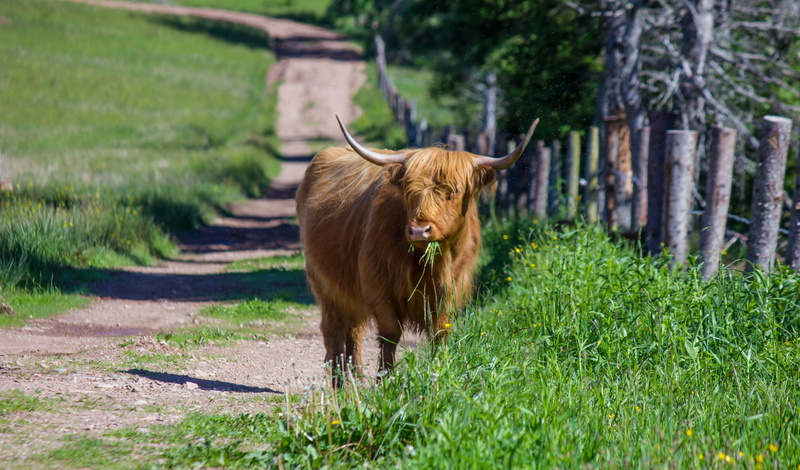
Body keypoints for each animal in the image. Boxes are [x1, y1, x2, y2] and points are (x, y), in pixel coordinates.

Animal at [296, 115, 539, 387]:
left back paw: (356, 381)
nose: (419, 230)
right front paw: (386, 382)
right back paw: (340, 386)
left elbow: (440, 333)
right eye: (409, 190)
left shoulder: (451, 289)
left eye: (454, 191)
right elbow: (390, 334)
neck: (428, 263)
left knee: (354, 331)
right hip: (327, 286)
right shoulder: (378, 285)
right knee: (335, 331)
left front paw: (437, 377)